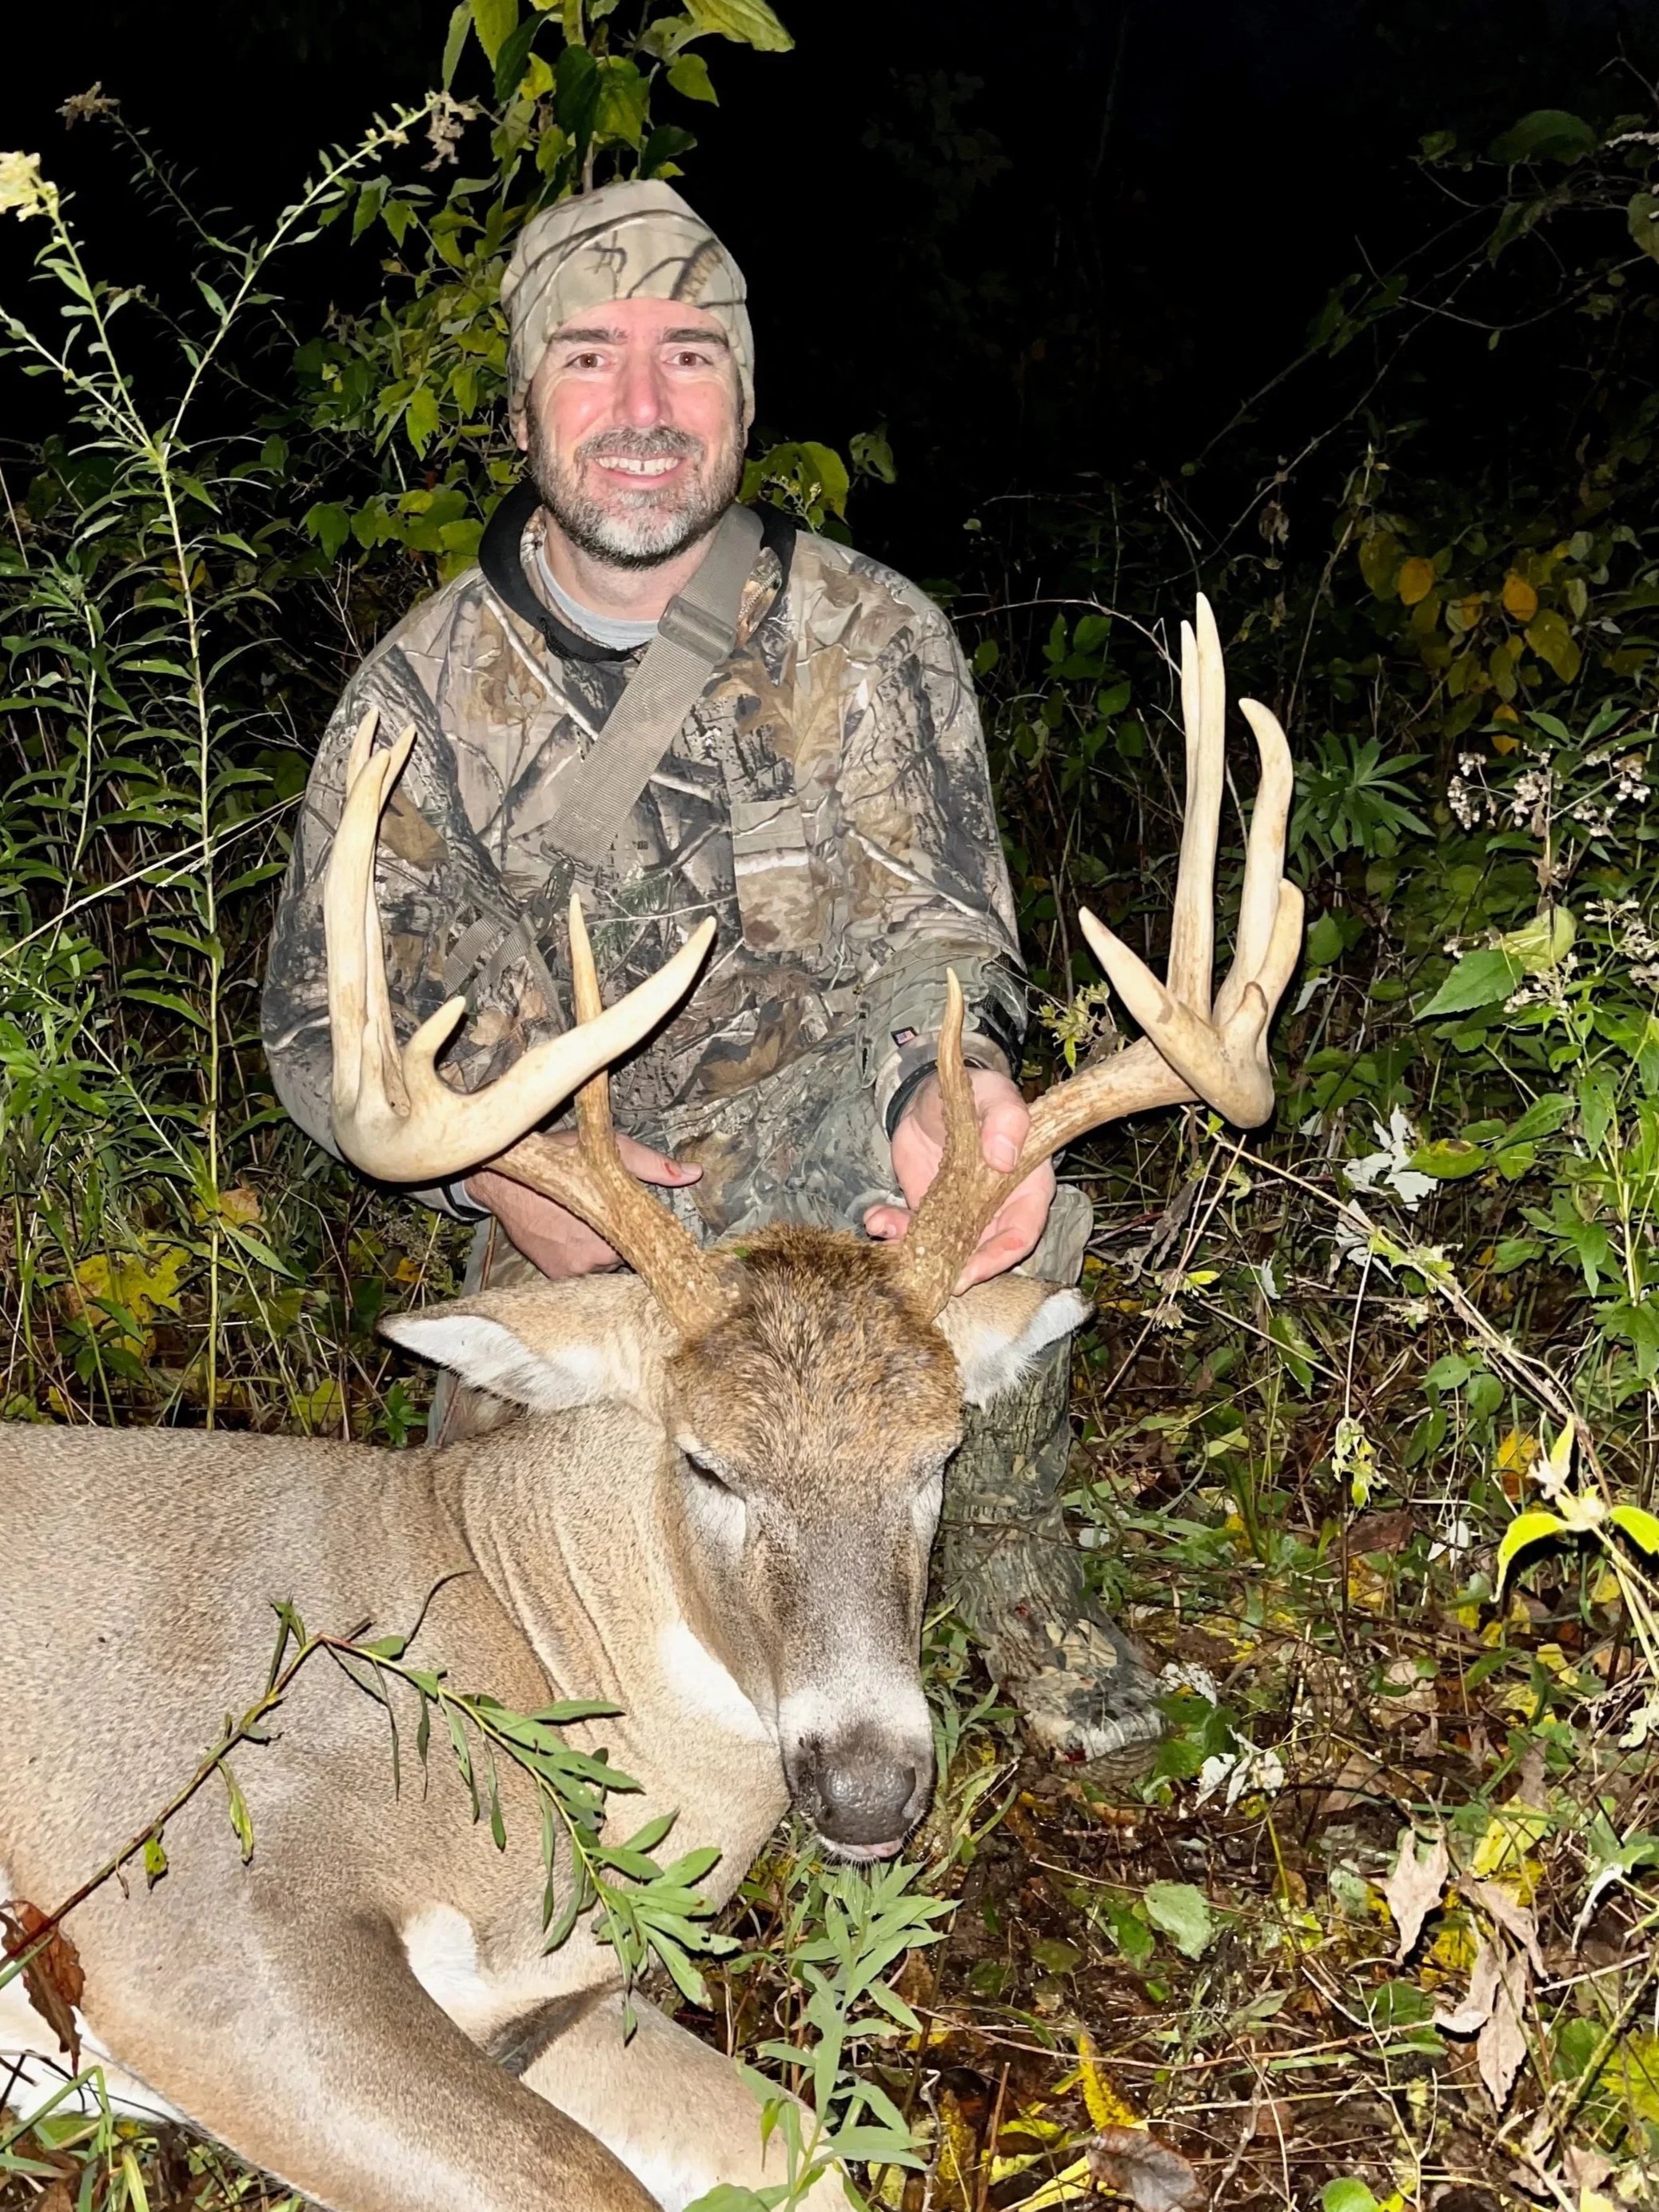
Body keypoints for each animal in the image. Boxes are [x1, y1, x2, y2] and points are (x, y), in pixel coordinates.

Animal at [0, 598, 1302, 2212]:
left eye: (936, 1454)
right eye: (708, 1461)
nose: (866, 1788)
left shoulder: (553, 2003)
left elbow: (798, 2140)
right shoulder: (197, 1914)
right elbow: (580, 2181)